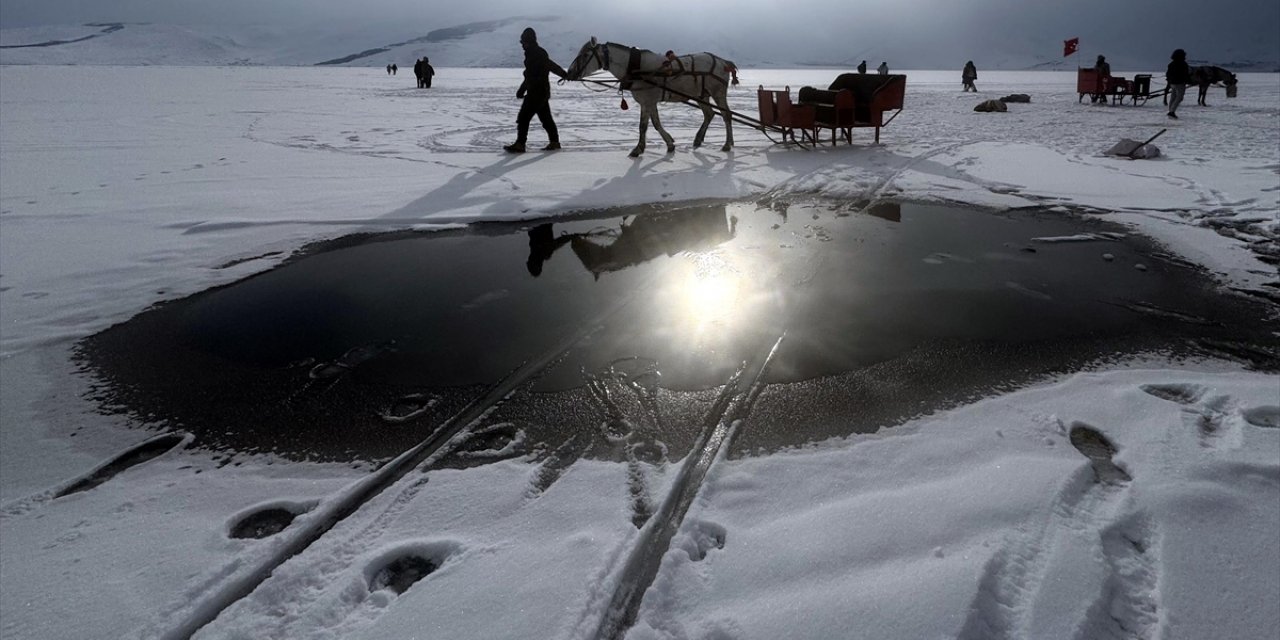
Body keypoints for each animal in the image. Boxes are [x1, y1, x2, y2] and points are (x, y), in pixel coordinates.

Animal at [568, 37, 742, 157]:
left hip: (718, 92)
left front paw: (640, 149)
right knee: (709, 113)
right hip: (702, 94)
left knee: (726, 114)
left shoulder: (648, 101)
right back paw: (698, 139)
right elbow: (652, 124)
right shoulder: (647, 102)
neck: (636, 68)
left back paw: (727, 144)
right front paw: (666, 144)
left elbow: (647, 126)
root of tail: (723, 61)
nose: (570, 73)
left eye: (585, 55)